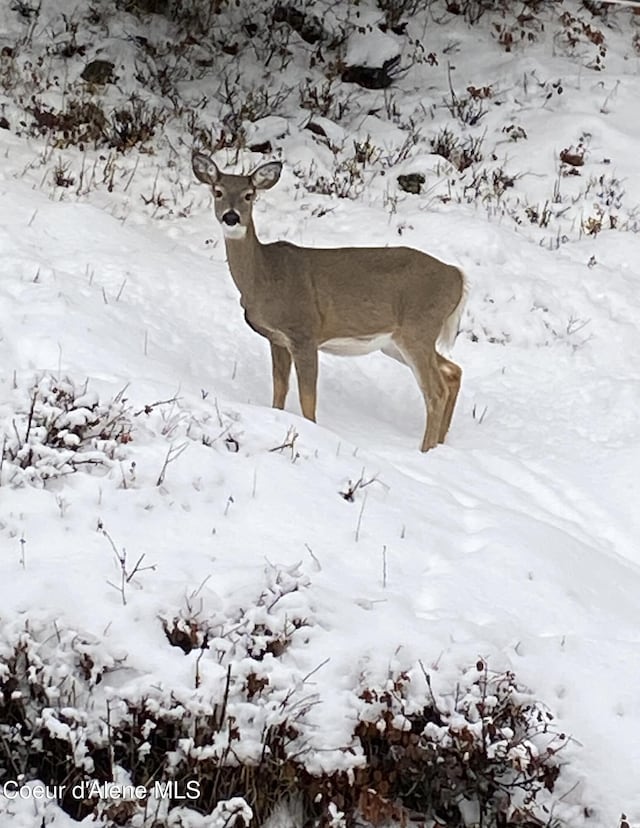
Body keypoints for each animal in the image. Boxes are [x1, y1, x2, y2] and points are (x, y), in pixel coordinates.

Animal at [192, 155, 468, 452]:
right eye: (217, 191)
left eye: (249, 195)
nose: (231, 217)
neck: (266, 277)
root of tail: (457, 276)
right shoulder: (277, 339)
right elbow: (279, 391)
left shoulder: (304, 332)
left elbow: (307, 400)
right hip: (397, 342)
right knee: (453, 372)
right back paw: (440, 444)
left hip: (418, 329)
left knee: (435, 392)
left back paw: (425, 450)